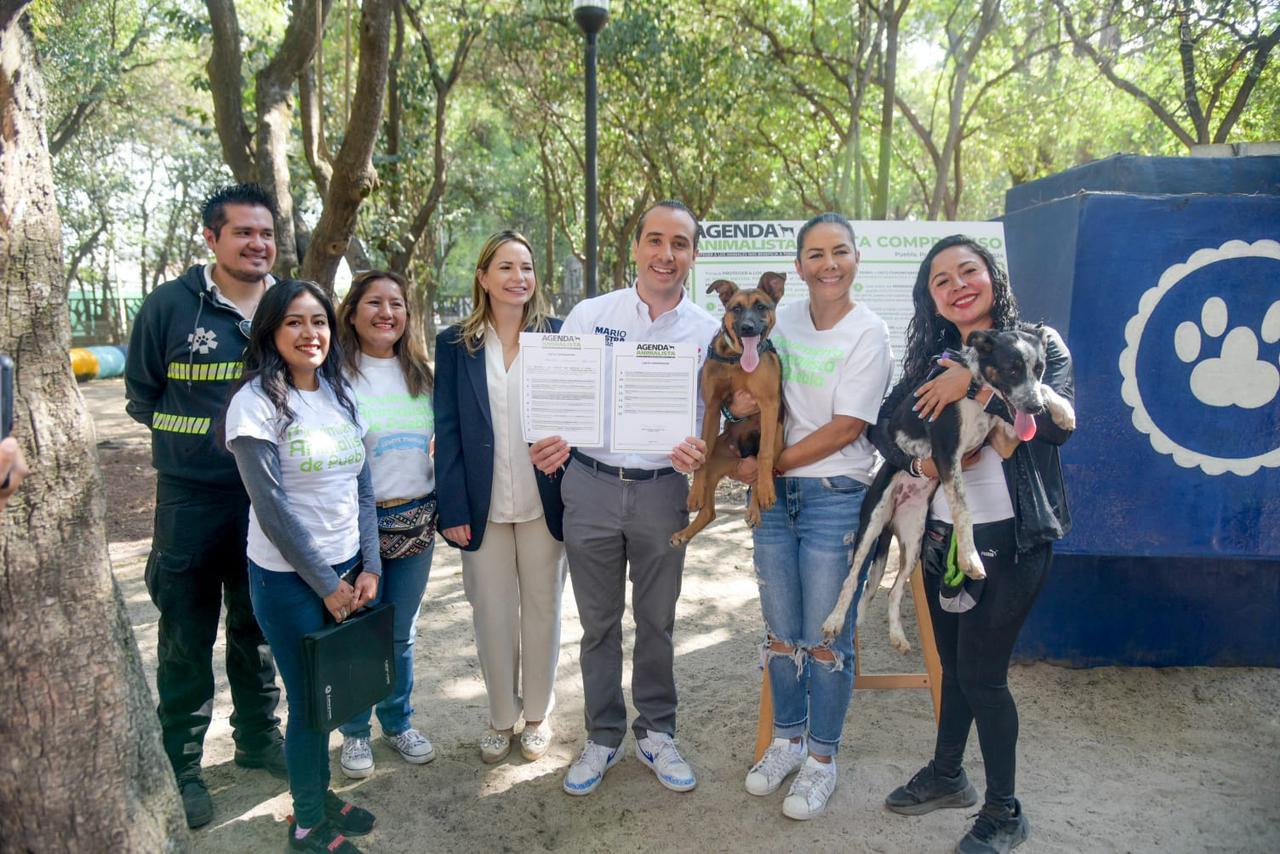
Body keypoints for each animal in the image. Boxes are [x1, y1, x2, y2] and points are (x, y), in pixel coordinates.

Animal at [670, 272, 778, 547]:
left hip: (781, 437)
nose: (747, 327)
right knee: (709, 511)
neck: (737, 360)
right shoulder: (712, 406)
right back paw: (684, 533)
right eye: (736, 308)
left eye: (761, 307)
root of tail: (739, 456)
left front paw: (765, 494)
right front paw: (694, 494)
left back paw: (756, 507)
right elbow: (701, 456)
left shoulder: (769, 405)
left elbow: (764, 455)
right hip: (718, 461)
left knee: (761, 472)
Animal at [814, 327, 1075, 655]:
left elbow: (1042, 394)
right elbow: (963, 511)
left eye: (1039, 369)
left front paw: (1064, 411)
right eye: (1012, 369)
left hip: (913, 541)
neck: (974, 392)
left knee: (893, 592)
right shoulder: (947, 456)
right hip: (870, 527)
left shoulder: (1006, 435)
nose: (1035, 408)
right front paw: (970, 559)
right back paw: (834, 621)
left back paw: (898, 636)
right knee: (851, 581)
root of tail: (892, 519)